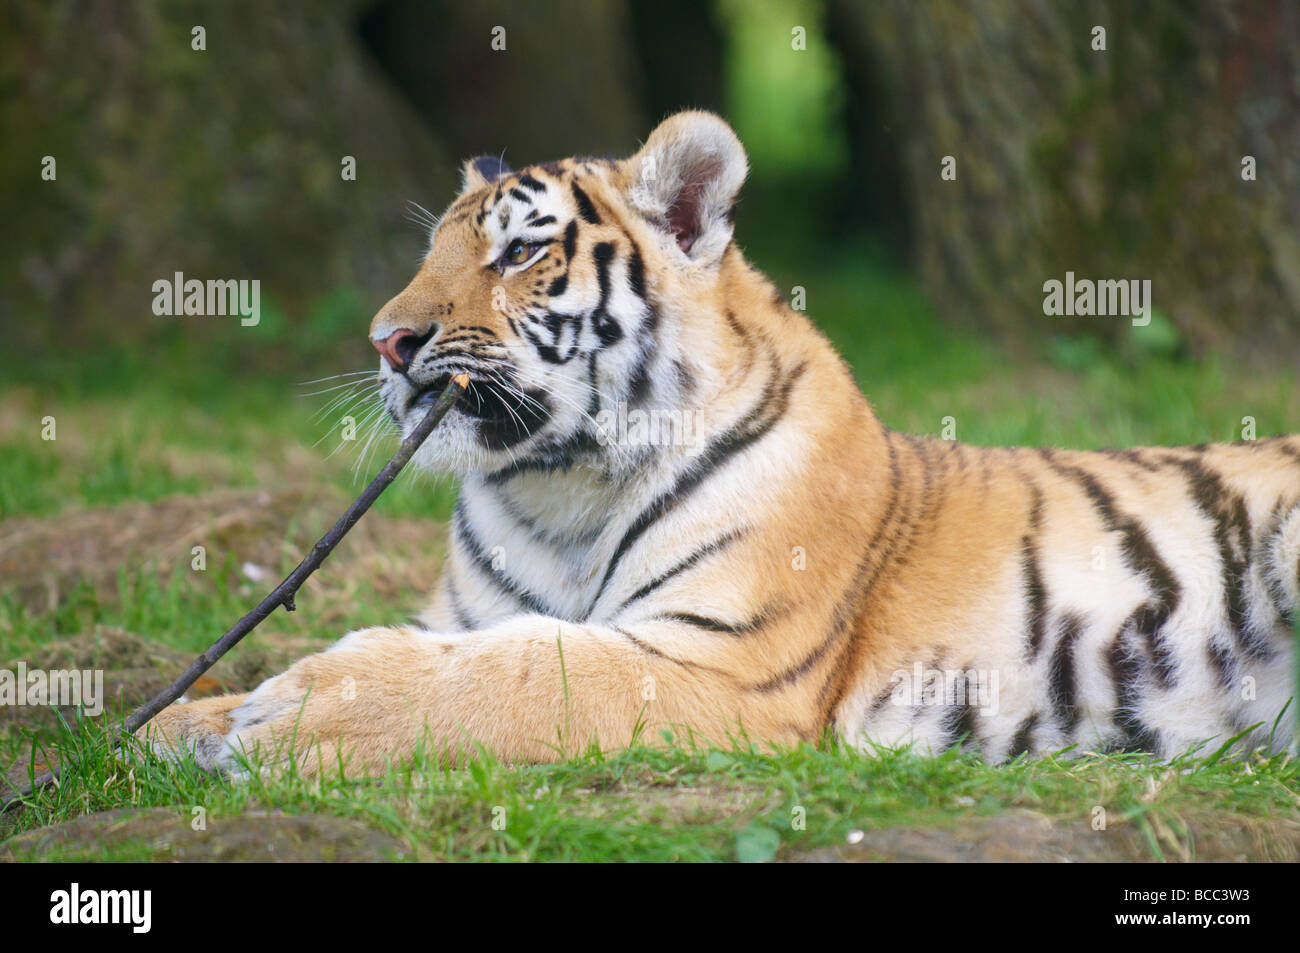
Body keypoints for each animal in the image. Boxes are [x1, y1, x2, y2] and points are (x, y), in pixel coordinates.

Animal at [144, 111, 1300, 774]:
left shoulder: (719, 659)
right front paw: (175, 724)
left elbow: (506, 676)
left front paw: (300, 713)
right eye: (431, 251)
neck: (554, 489)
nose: (387, 340)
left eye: (517, 254)